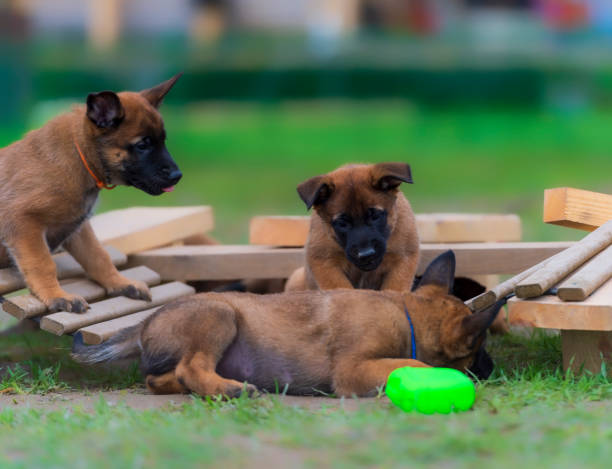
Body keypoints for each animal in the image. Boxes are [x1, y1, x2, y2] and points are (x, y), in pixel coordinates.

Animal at [0, 75, 182, 312]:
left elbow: (98, 256)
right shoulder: (22, 221)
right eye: (142, 145)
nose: (178, 175)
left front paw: (121, 283)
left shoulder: (78, 227)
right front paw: (57, 296)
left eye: (163, 141)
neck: (80, 155)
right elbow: (43, 263)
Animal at [73, 250, 502, 396]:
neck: (408, 316)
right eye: (477, 347)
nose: (492, 368)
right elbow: (412, 363)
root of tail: (143, 325)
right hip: (219, 315)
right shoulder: (351, 371)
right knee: (190, 368)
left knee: (160, 379)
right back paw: (230, 389)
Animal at [284, 163, 418, 290]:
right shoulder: (325, 262)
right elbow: (343, 288)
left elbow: (394, 289)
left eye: (375, 216)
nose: (366, 254)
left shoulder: (403, 259)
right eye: (342, 223)